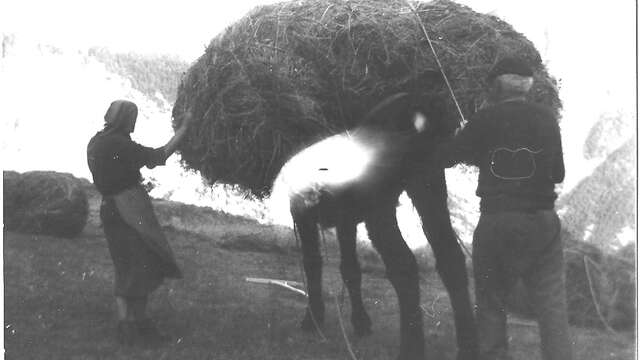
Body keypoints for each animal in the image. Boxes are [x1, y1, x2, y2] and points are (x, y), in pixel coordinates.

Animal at [284, 94, 476, 358]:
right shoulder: (354, 218)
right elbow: (356, 268)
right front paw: (363, 323)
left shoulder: (306, 213)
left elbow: (314, 263)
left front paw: (314, 318)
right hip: (424, 187)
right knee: (449, 257)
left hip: (377, 209)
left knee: (399, 265)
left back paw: (406, 345)